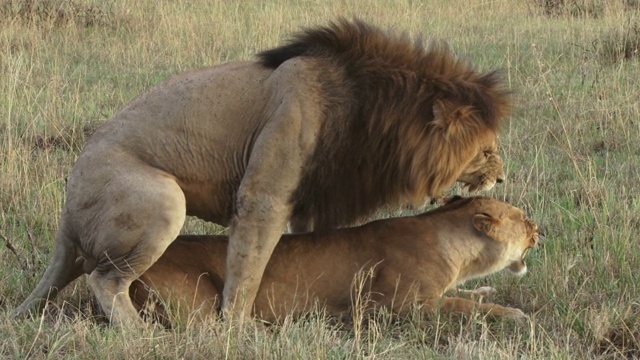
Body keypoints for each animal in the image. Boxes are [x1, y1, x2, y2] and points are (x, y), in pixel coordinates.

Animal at [130, 197, 540, 326]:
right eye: (525, 220)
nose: (541, 231)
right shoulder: (394, 306)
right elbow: (462, 305)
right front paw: (514, 313)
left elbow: (468, 295)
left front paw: (487, 290)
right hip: (200, 301)